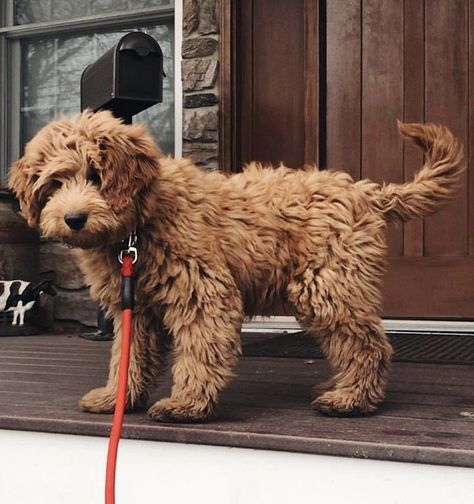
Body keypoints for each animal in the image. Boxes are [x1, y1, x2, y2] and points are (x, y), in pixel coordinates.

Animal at [9, 111, 464, 422]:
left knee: (368, 344)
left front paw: (187, 404)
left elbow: (200, 349)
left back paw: (351, 400)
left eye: (96, 175)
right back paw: (342, 387)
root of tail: (363, 191)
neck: (137, 224)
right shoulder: (135, 305)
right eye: (53, 184)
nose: (73, 219)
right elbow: (129, 353)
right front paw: (117, 398)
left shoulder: (202, 290)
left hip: (327, 285)